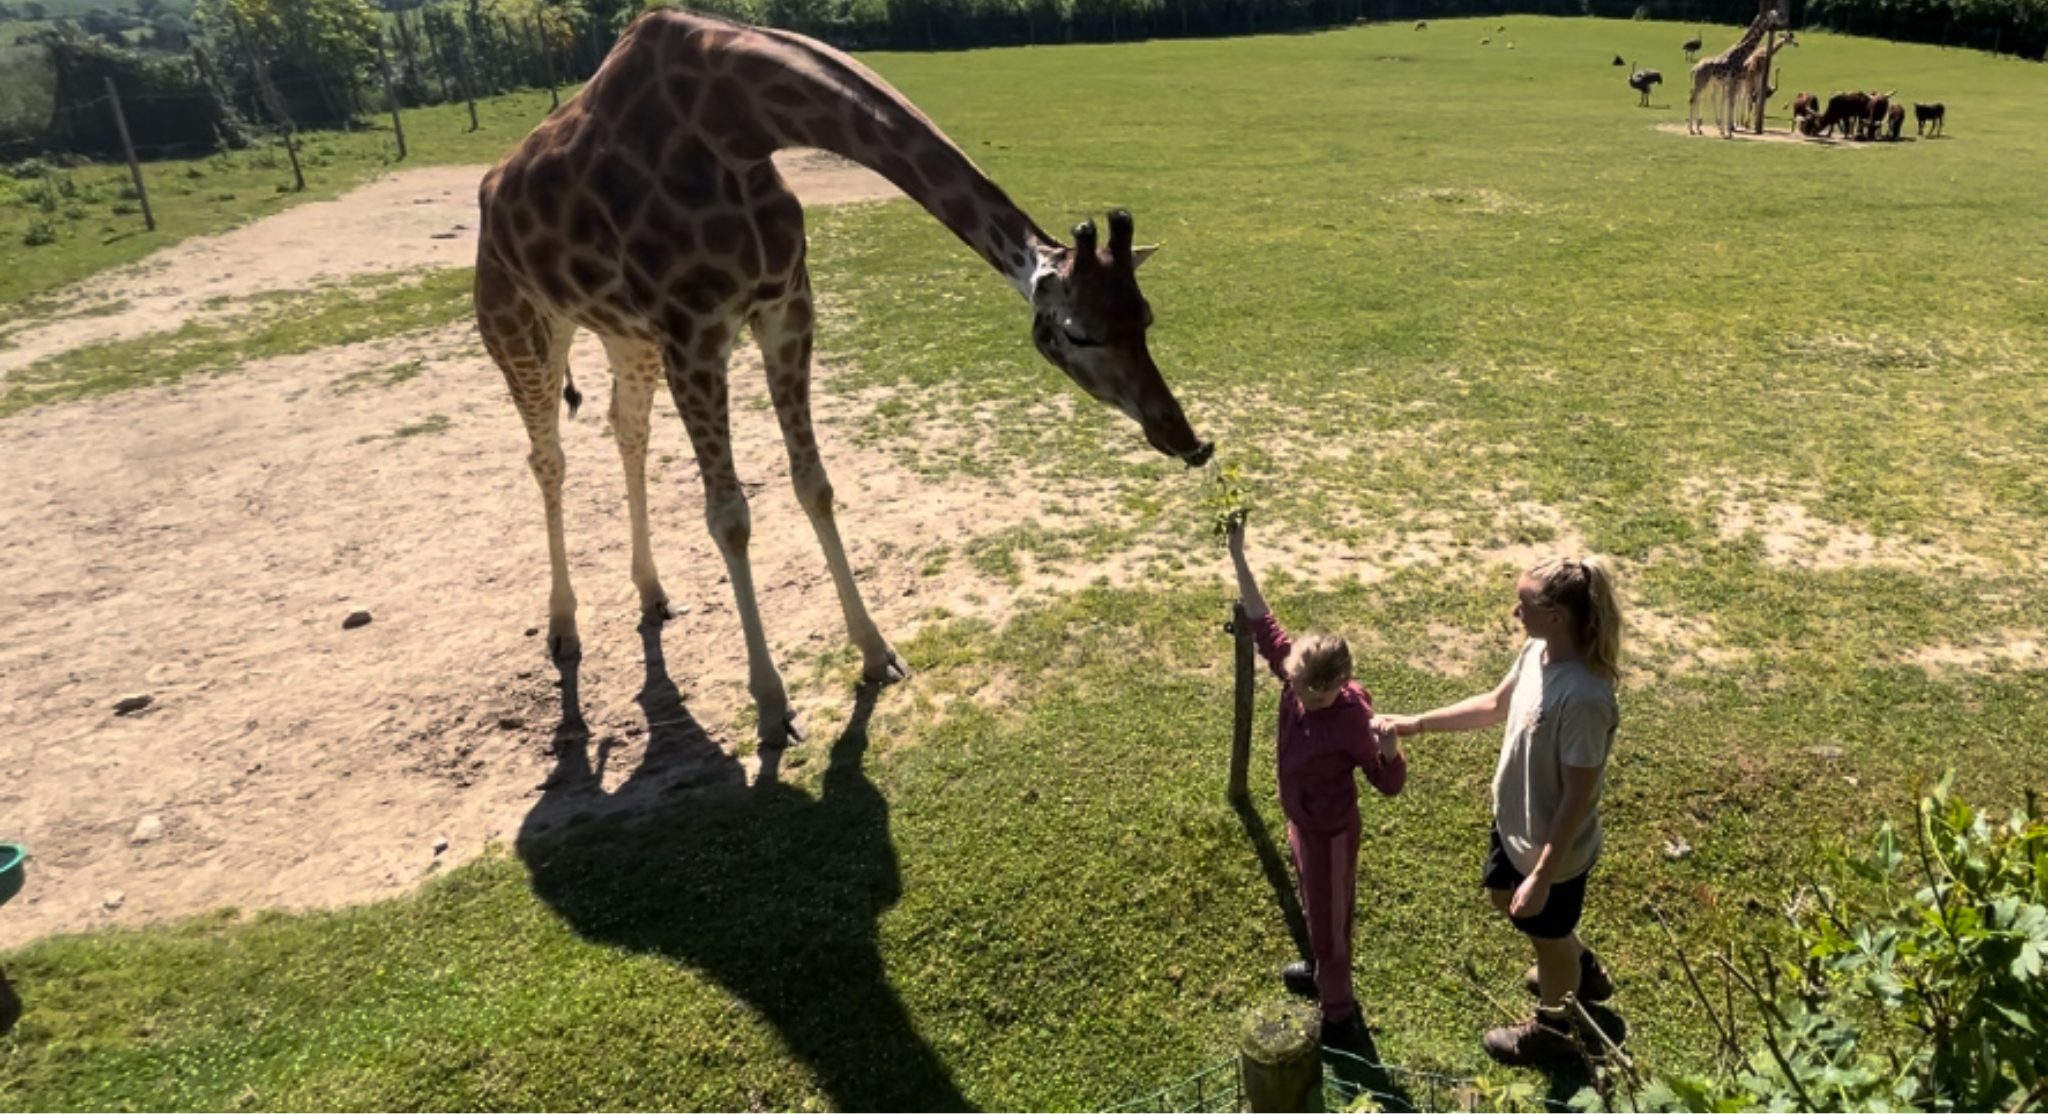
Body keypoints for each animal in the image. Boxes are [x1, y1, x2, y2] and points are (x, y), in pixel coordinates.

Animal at [1687, 3, 1785, 137]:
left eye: (1778, 14)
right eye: (1774, 15)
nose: (1781, 24)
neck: (1741, 54)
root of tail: (1694, 68)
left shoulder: (1731, 82)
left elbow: (1729, 102)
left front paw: (1727, 130)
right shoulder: (1734, 81)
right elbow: (1731, 103)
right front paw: (1729, 131)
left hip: (1704, 83)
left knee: (1698, 98)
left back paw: (1697, 129)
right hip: (1702, 83)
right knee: (1694, 99)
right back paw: (1692, 130)